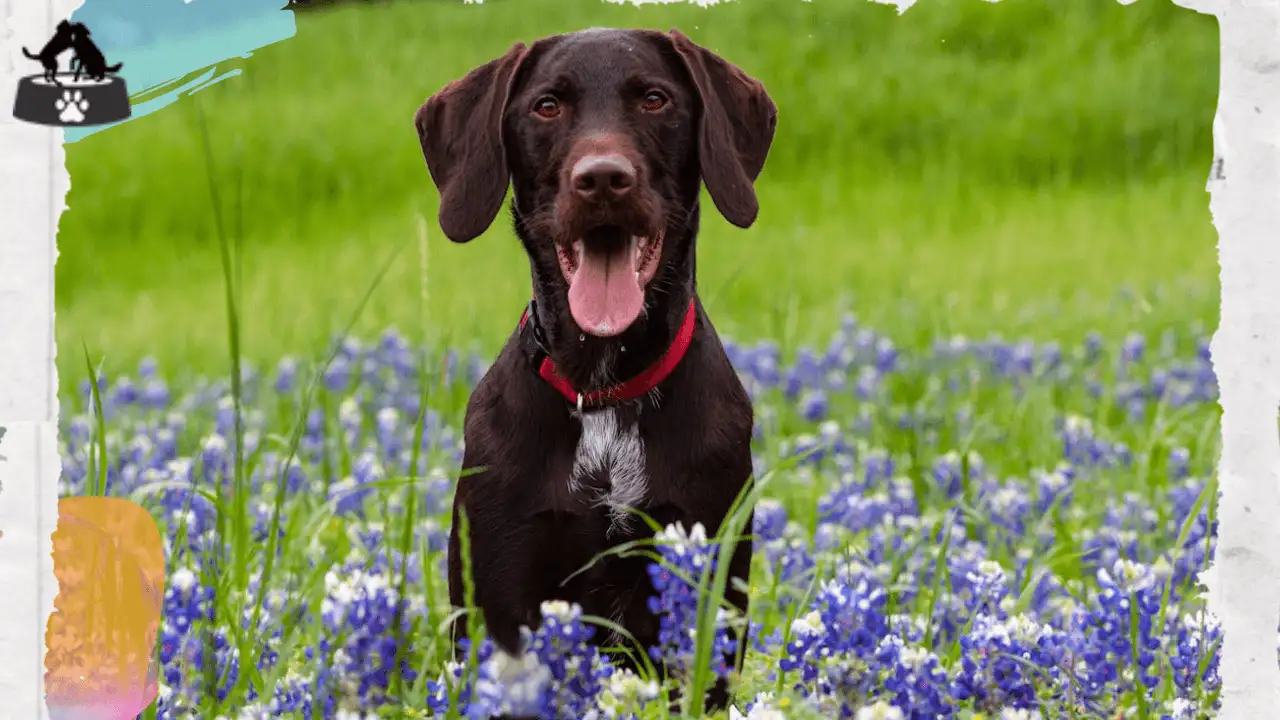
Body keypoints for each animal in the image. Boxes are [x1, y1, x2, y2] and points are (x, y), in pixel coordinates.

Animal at [414, 28, 773, 712]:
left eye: (655, 99)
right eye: (547, 106)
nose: (603, 177)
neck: (602, 387)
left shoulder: (704, 568)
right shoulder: (501, 589)